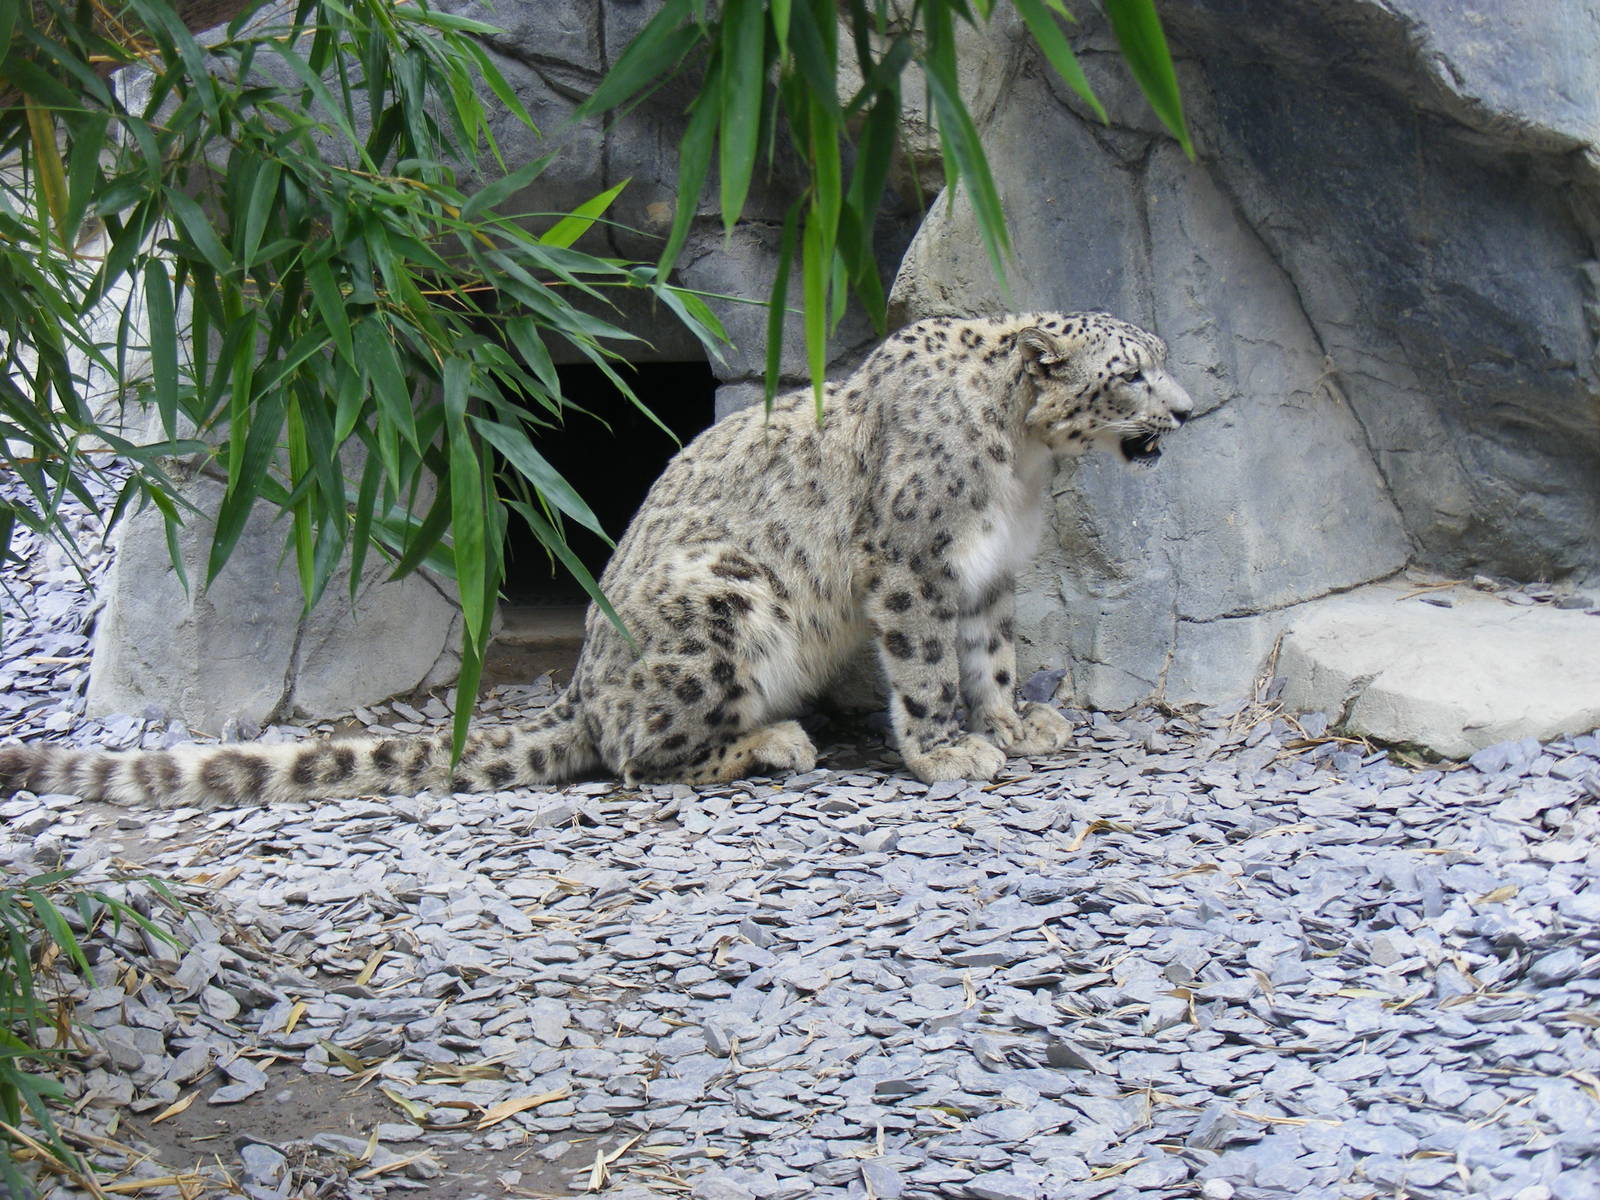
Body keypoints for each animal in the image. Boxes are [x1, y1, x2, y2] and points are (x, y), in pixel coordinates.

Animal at [0, 311, 1192, 808]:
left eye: (1157, 363)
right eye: (1129, 372)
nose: (1184, 410)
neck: (1026, 470)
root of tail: (576, 688)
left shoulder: (986, 575)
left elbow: (988, 657)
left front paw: (1018, 723)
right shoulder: (909, 562)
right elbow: (930, 669)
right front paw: (951, 752)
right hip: (721, 599)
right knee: (631, 753)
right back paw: (770, 745)